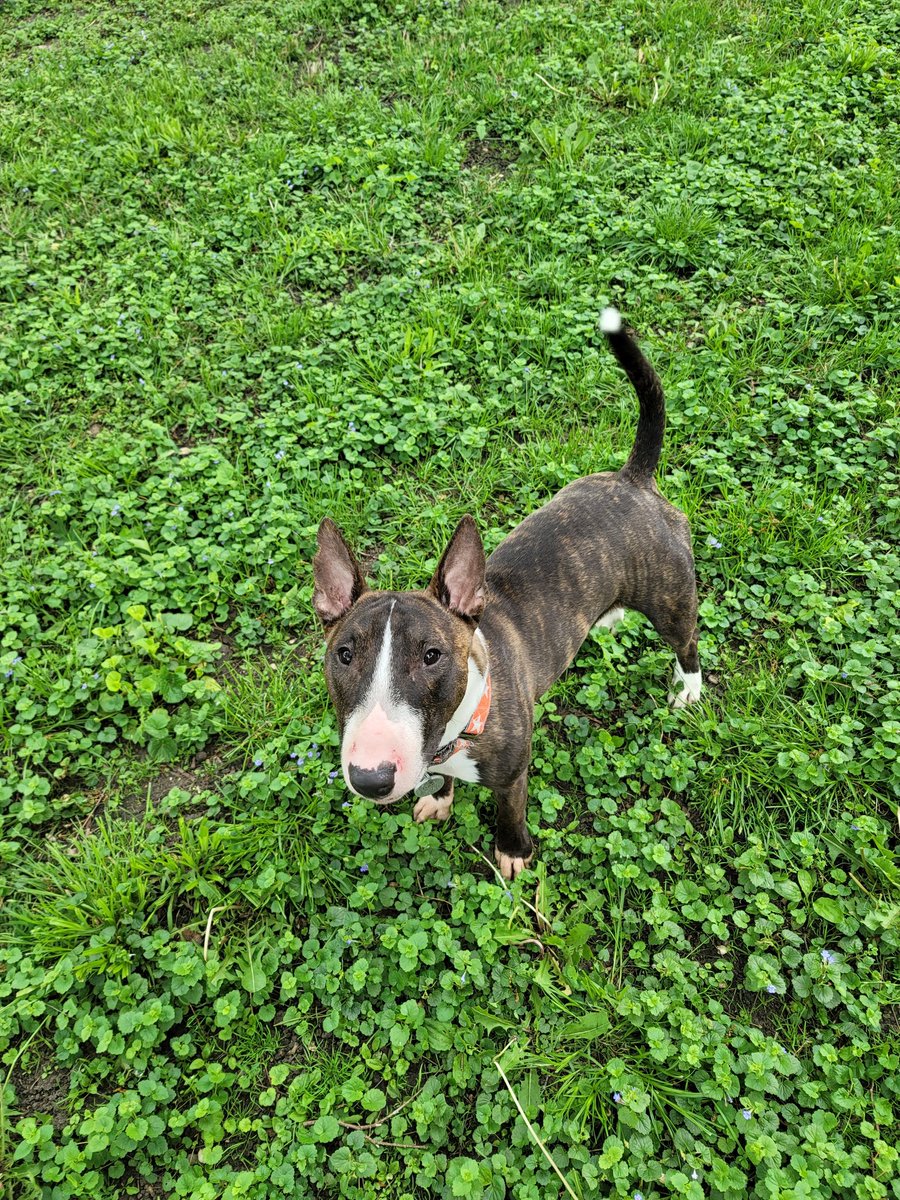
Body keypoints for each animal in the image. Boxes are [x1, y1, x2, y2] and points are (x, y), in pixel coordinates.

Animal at [314, 312, 700, 883]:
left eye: (432, 656)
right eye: (343, 655)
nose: (371, 778)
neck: (457, 730)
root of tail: (633, 480)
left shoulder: (515, 772)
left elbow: (510, 812)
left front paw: (514, 854)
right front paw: (439, 800)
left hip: (671, 596)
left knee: (686, 640)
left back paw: (688, 689)